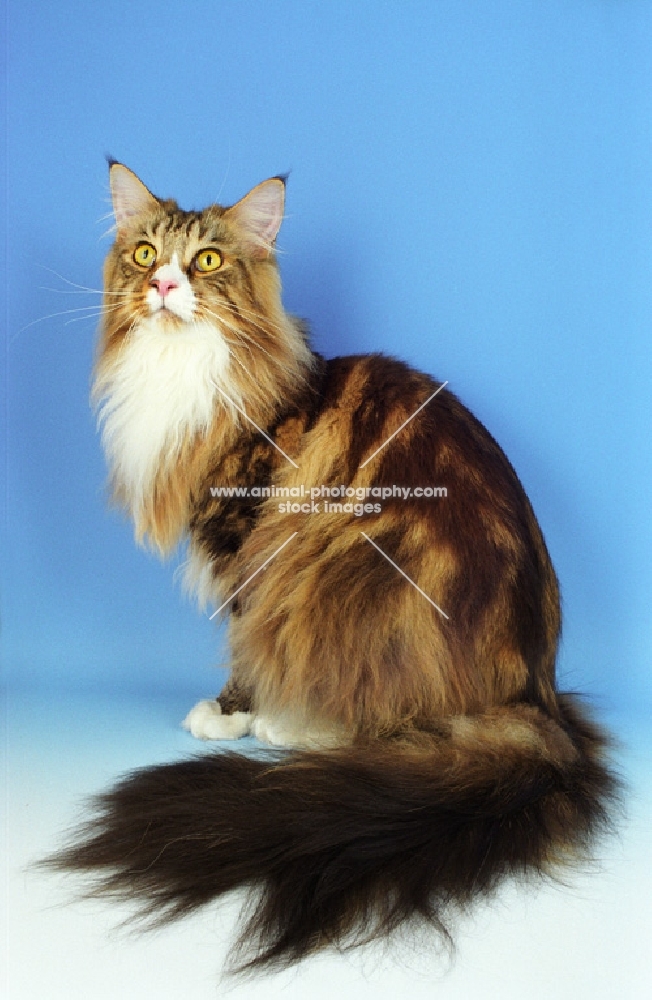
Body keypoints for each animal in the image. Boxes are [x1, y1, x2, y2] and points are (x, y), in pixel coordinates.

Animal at [48, 166, 620, 976]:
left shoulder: (248, 544)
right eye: (144, 253)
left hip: (348, 577)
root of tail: (537, 703)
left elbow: (241, 640)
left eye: (208, 262)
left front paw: (230, 713)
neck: (186, 371)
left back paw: (297, 727)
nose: (162, 284)